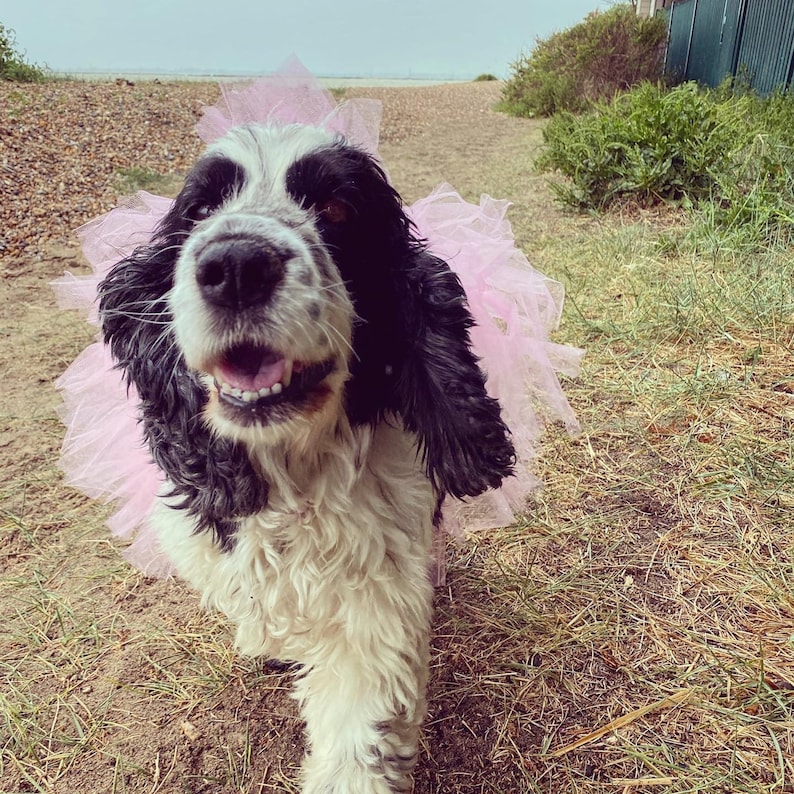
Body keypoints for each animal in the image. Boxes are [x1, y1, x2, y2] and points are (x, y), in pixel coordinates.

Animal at [97, 122, 512, 792]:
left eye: (337, 209)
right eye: (200, 210)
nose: (236, 266)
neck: (293, 467)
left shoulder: (378, 597)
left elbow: (360, 732)